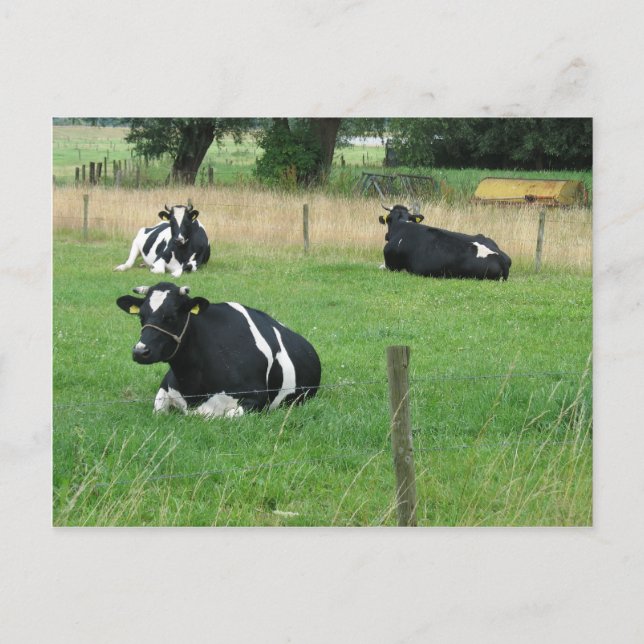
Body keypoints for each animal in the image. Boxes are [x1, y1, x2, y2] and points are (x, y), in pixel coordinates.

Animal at [116, 282, 322, 417]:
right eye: (141, 316)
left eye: (171, 316)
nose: (140, 352)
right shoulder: (165, 388)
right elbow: (158, 409)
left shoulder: (256, 399)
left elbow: (223, 415)